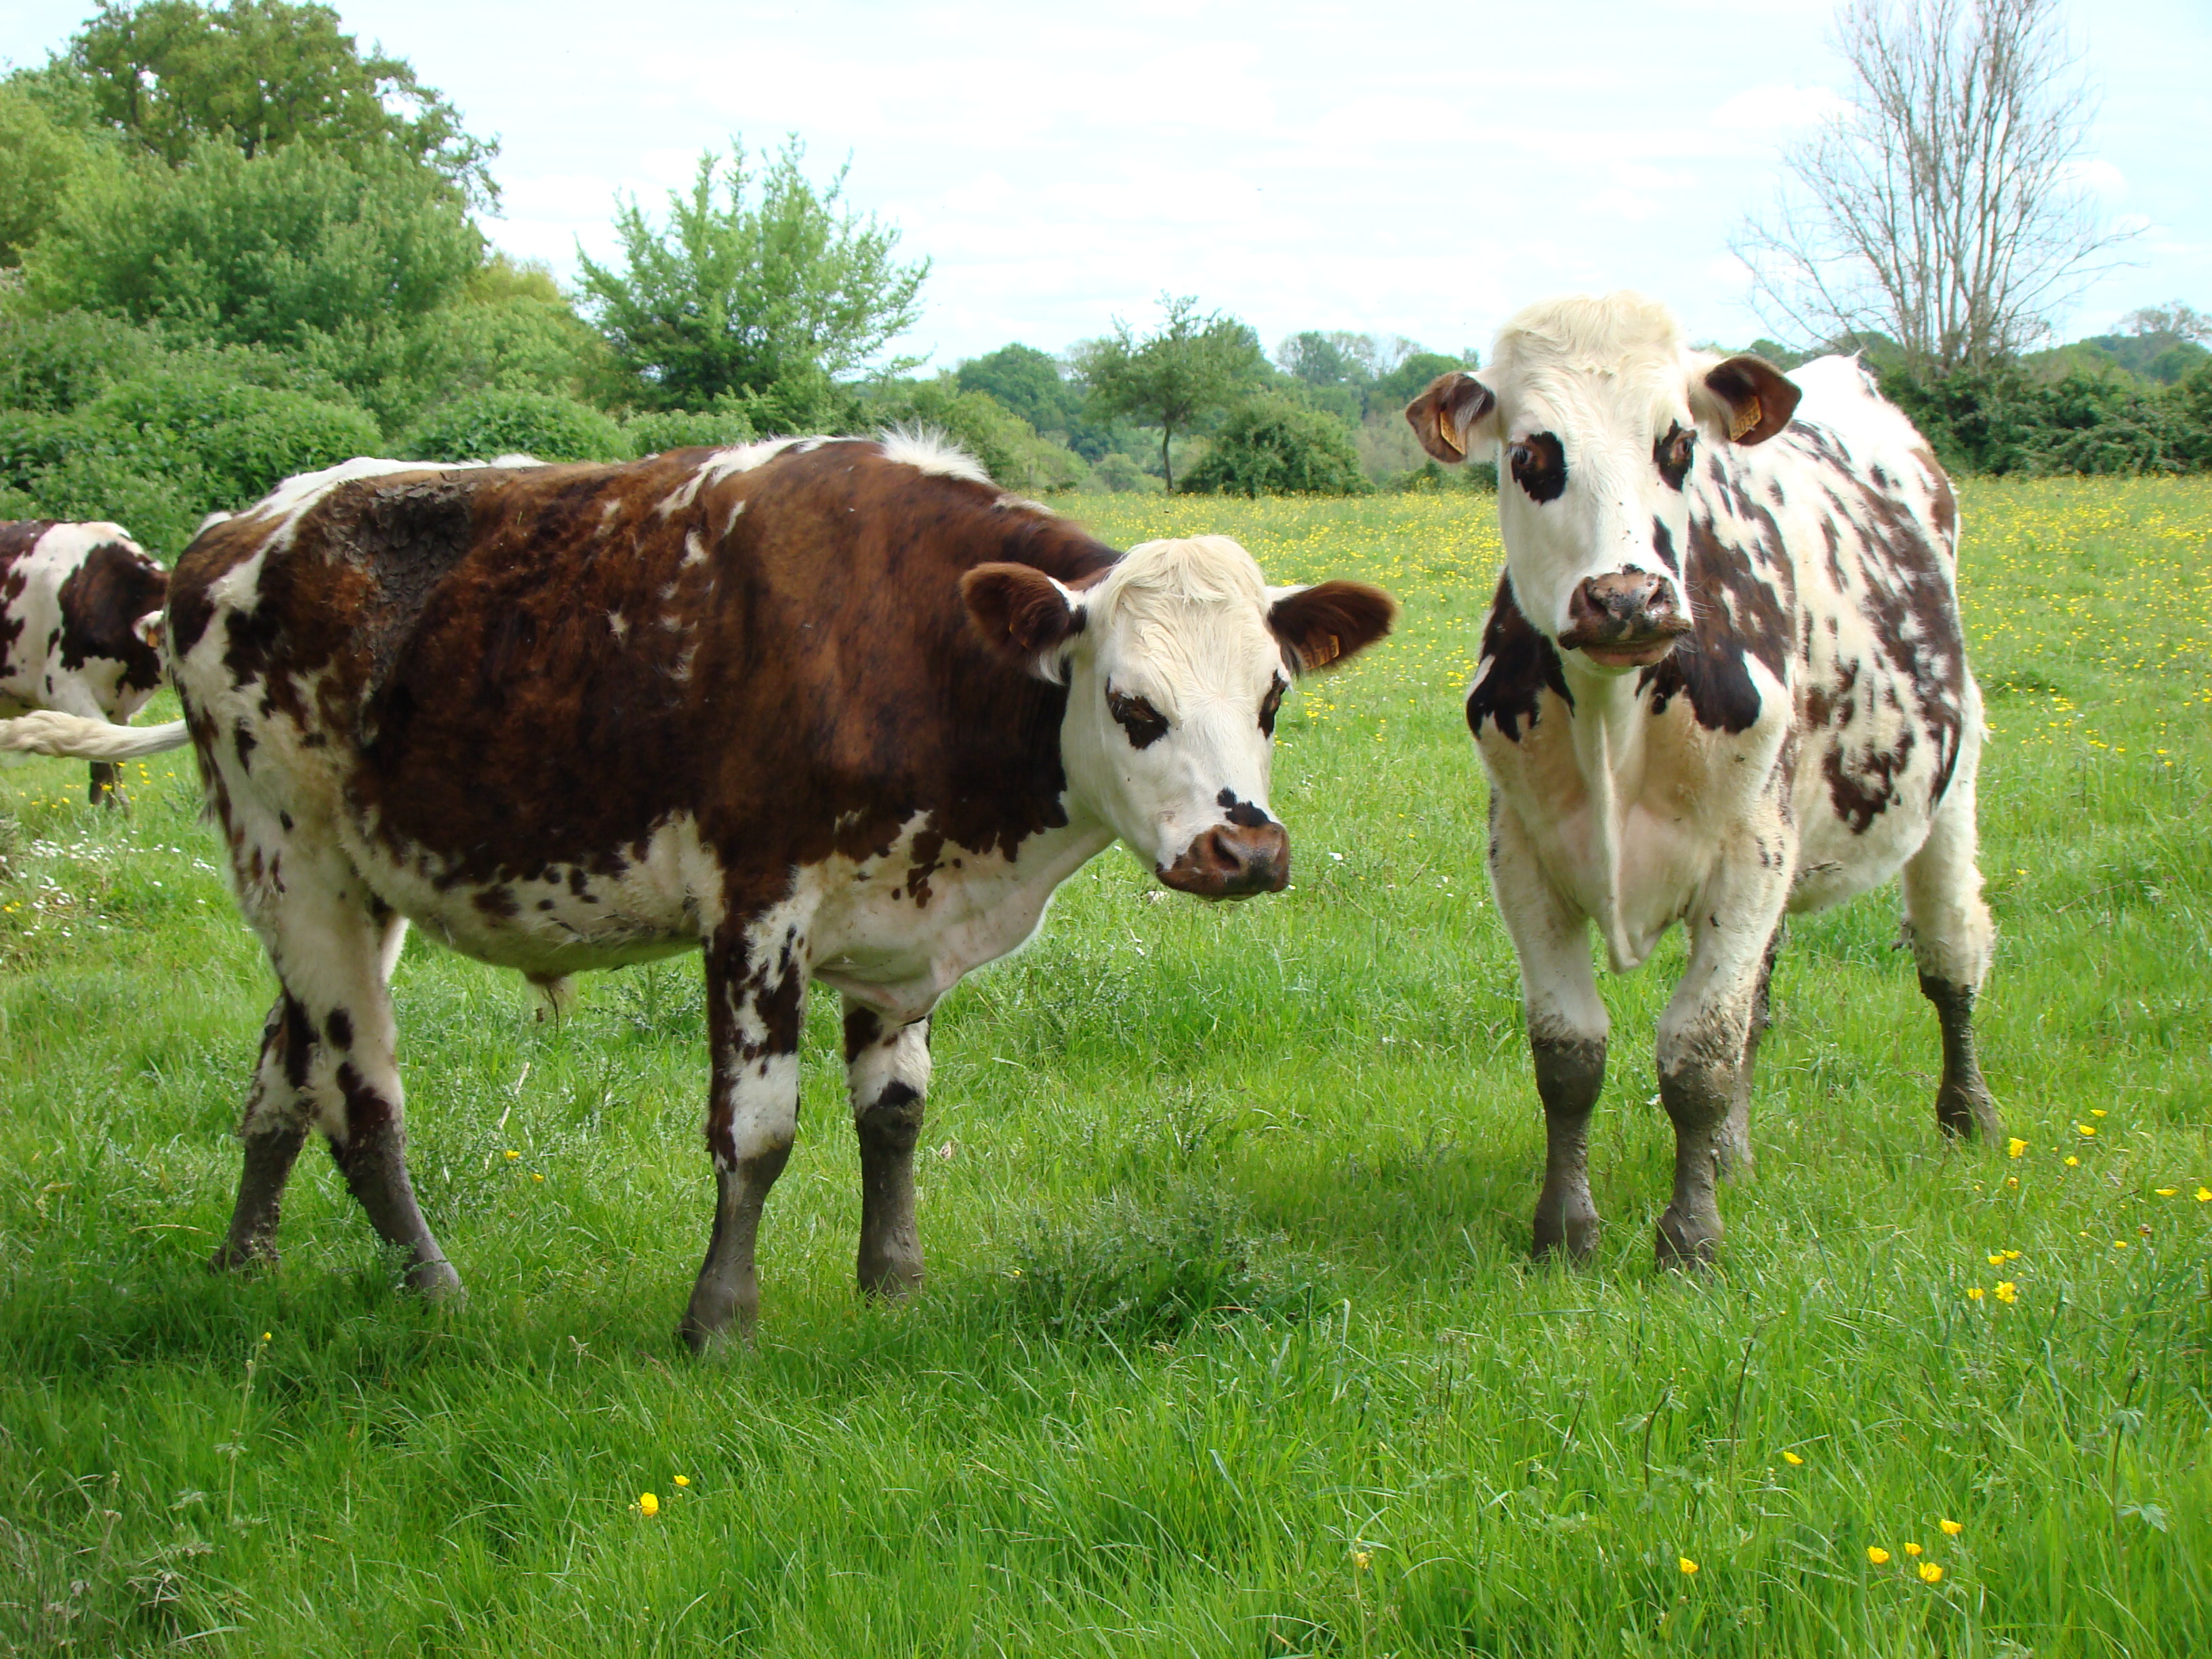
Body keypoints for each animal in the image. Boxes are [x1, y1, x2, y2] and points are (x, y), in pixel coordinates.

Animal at [1404, 292, 2000, 1270]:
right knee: (1762, 997)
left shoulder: (1751, 852)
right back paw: (1733, 1154)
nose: (1626, 598)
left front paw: (1690, 1239)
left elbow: (1698, 1056)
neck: (1614, 717)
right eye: (1531, 453)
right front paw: (1566, 1230)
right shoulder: (1522, 857)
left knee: (1951, 957)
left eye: (1678, 443)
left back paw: (1967, 1115)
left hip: (1949, 788)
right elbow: (1569, 1057)